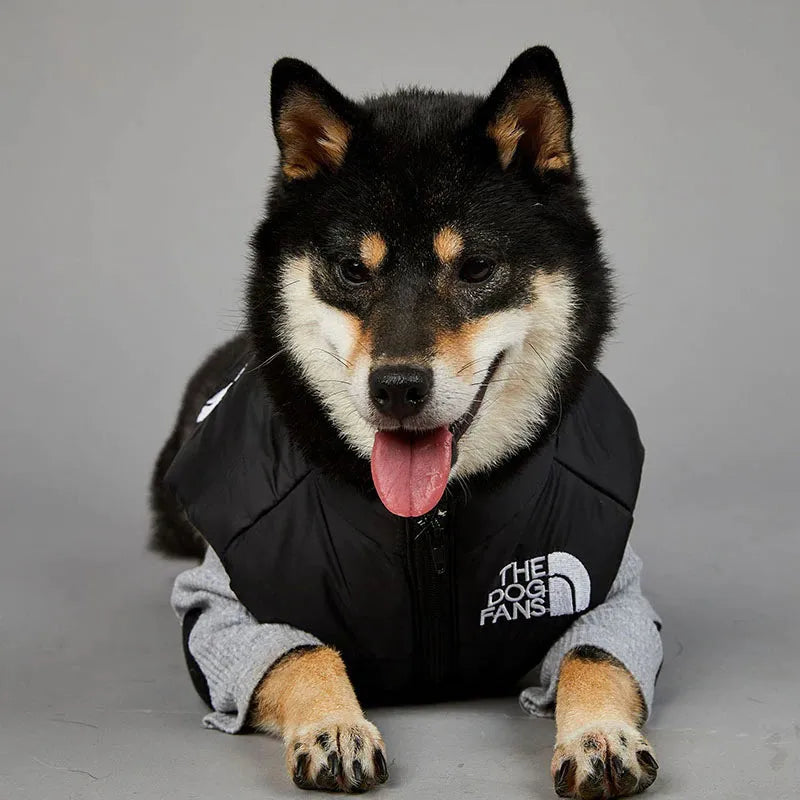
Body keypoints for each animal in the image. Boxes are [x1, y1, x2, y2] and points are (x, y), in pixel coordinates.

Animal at [152, 47, 664, 796]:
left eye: (475, 266)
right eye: (350, 269)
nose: (396, 388)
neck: (429, 526)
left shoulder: (618, 592)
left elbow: (594, 656)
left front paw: (599, 736)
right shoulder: (215, 610)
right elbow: (303, 653)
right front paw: (334, 727)